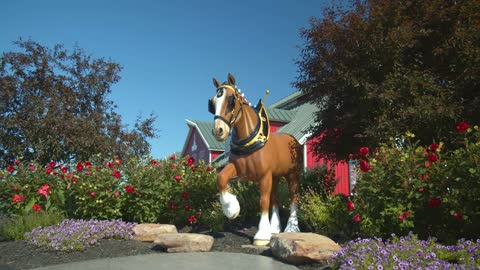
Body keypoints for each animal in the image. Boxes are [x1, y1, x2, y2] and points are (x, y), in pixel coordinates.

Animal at [208, 73, 302, 246]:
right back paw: (275, 228)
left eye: (231, 100)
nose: (218, 130)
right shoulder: (237, 168)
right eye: (212, 103)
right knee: (276, 199)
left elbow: (263, 201)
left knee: (293, 197)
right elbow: (221, 179)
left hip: (293, 174)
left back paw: (292, 228)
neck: (250, 140)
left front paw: (262, 235)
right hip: (276, 177)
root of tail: (293, 140)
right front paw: (231, 209)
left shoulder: (264, 176)